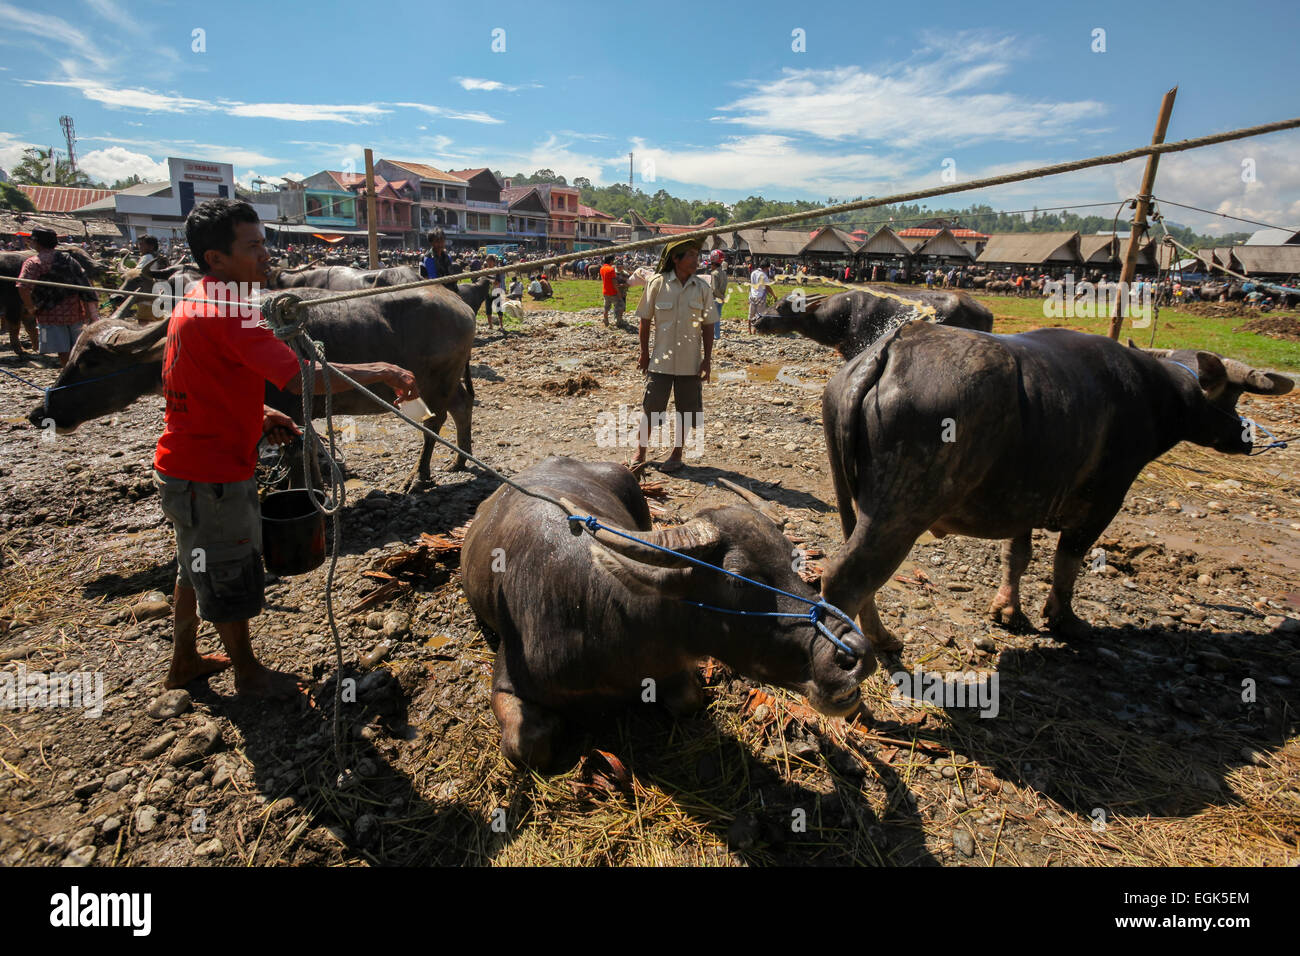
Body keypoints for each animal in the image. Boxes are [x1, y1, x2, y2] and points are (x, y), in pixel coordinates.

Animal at [30, 277, 475, 486]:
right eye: (75, 354)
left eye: (91, 360)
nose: (40, 412)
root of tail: (461, 305)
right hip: (448, 380)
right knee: (462, 406)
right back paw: (460, 459)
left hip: (435, 382)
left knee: (435, 421)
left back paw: (419, 475)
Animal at [462, 455, 878, 770]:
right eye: (739, 580)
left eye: (794, 561)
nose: (852, 655)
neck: (598, 616)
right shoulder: (508, 683)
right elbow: (527, 744)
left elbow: (689, 699)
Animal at [821, 323, 1289, 650]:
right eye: (1233, 396)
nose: (1245, 438)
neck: (1156, 396)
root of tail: (891, 348)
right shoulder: (1105, 499)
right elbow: (1069, 560)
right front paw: (1065, 619)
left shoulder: (1024, 500)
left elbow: (1017, 555)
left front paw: (1008, 610)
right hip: (901, 509)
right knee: (846, 577)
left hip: (853, 499)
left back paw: (881, 638)